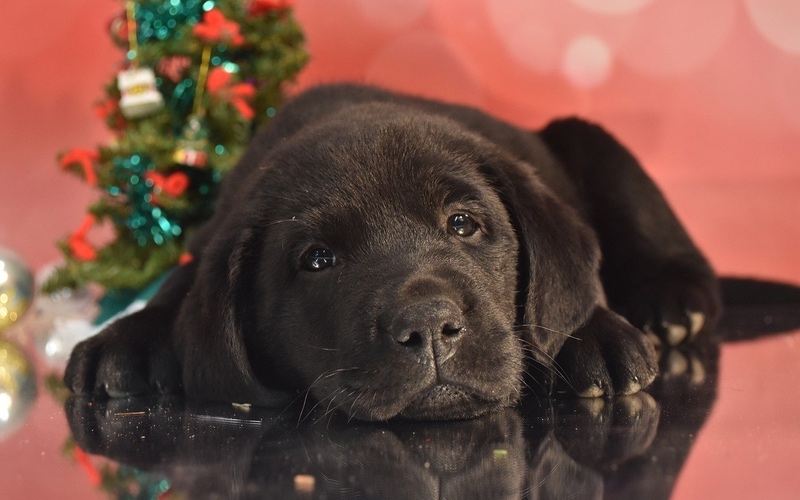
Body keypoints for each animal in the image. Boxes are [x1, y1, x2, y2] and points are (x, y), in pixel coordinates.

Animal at [65, 84, 720, 420]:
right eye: (318, 260)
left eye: (463, 224)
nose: (428, 328)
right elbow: (176, 287)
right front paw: (122, 342)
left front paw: (594, 336)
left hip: (595, 141)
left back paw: (671, 301)